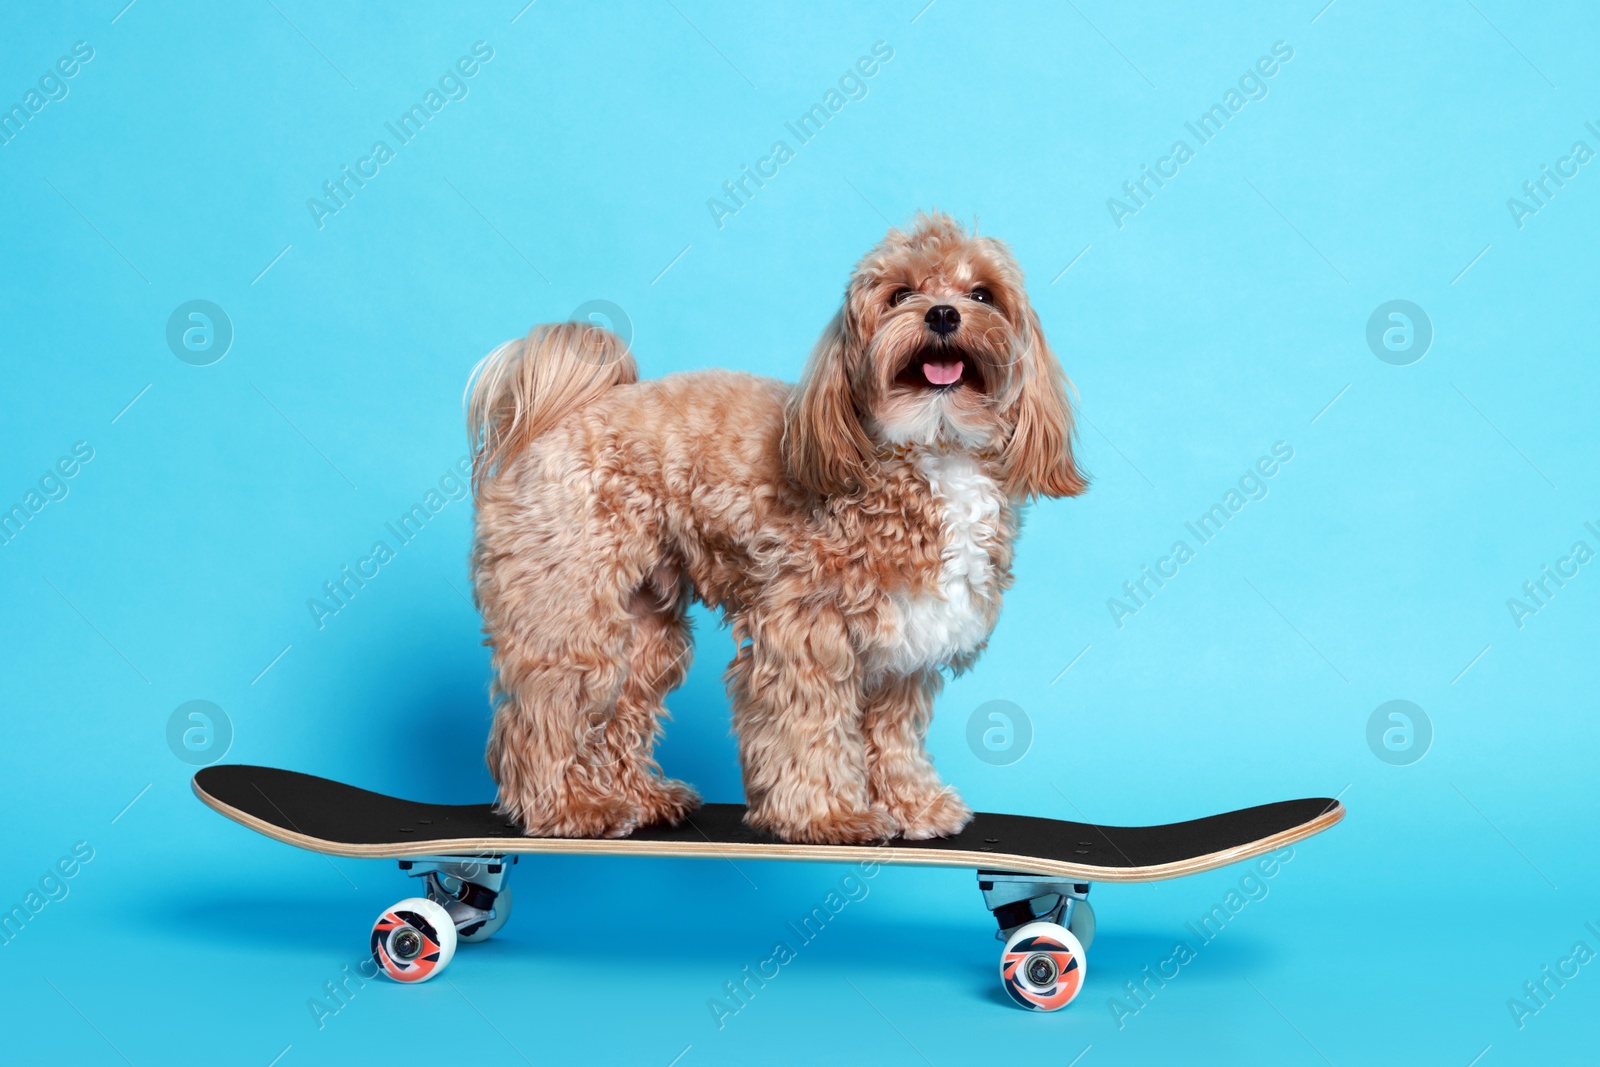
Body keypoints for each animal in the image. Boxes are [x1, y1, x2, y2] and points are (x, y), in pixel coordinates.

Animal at [467, 212, 1088, 844]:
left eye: (982, 295)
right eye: (899, 295)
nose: (942, 314)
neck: (932, 446)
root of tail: (559, 417)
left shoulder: (902, 647)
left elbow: (892, 733)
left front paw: (912, 805)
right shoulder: (805, 629)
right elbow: (809, 728)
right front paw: (830, 815)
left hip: (645, 628)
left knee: (618, 711)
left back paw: (639, 798)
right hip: (571, 610)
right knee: (544, 713)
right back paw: (566, 806)